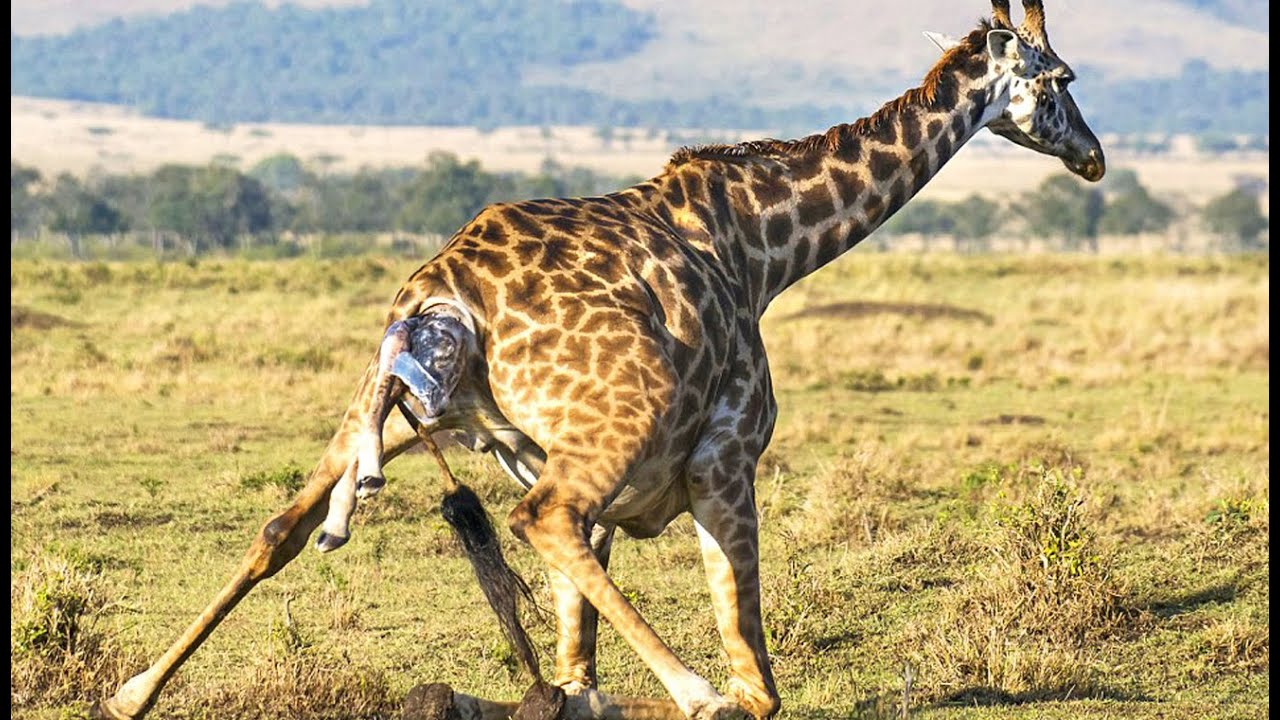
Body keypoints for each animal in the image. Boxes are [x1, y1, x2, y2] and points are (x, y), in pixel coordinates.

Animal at [94, 1, 1105, 717]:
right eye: (1060, 77)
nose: (1094, 157)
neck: (764, 248)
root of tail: (442, 293)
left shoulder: (599, 488)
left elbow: (578, 665)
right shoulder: (725, 458)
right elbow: (756, 677)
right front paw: (709, 692)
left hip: (378, 410)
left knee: (279, 527)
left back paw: (130, 693)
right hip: (623, 413)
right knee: (538, 518)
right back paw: (695, 692)